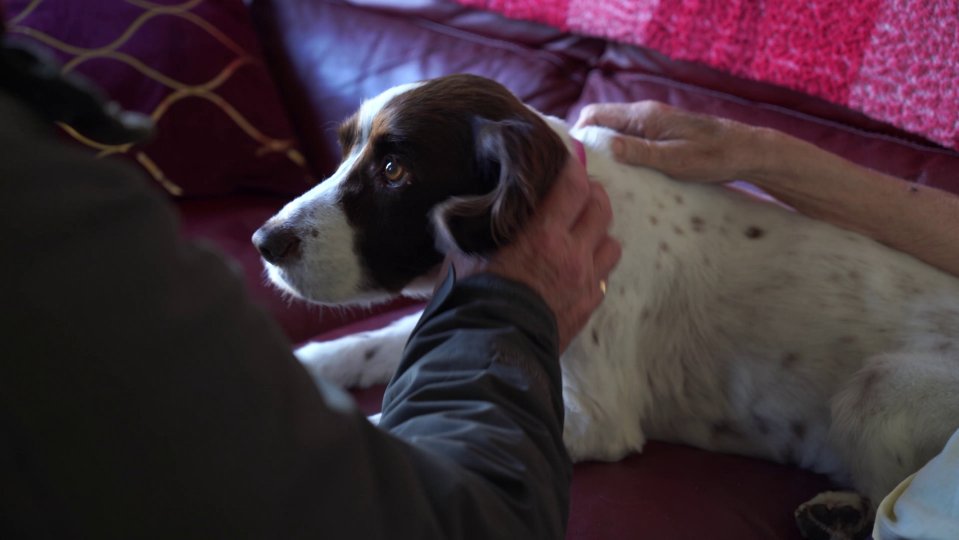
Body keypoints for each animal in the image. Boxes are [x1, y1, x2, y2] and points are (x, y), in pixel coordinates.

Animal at [255, 73, 959, 540]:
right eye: (345, 151)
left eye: (395, 170)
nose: (265, 242)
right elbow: (375, 343)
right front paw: (307, 363)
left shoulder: (597, 417)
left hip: (880, 388)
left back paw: (843, 510)